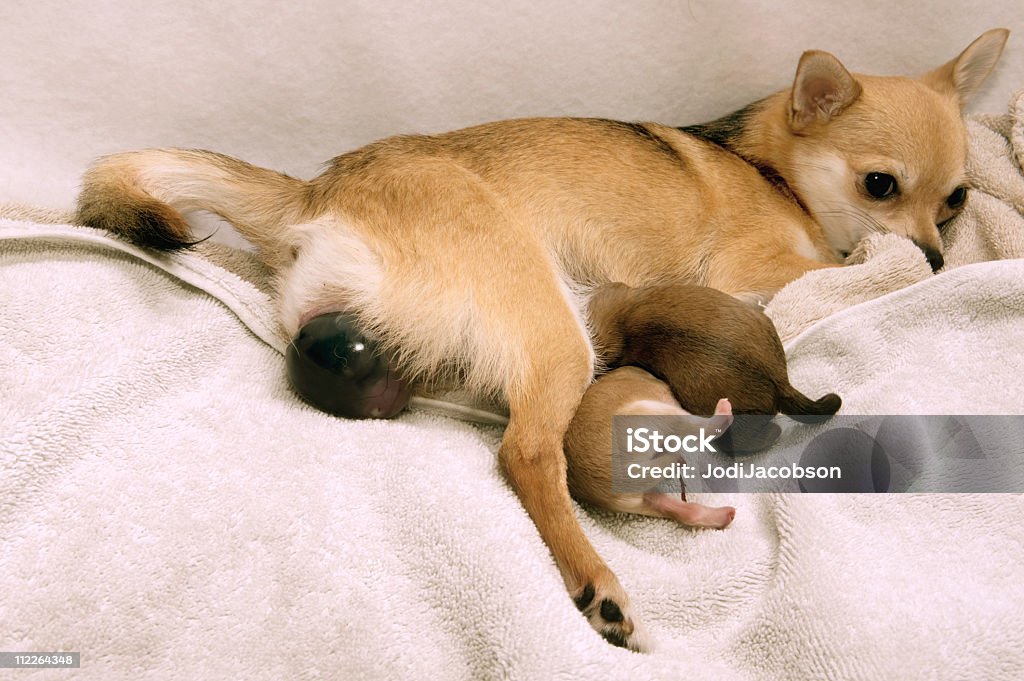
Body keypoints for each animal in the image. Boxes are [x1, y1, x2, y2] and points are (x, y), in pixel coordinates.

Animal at [565, 364, 741, 528]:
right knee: (708, 428)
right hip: (657, 413)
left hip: (645, 498)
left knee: (685, 512)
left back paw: (724, 515)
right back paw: (723, 411)